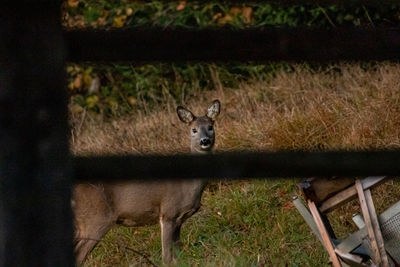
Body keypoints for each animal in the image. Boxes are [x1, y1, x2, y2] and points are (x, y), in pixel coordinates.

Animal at [72, 100, 222, 266]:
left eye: (210, 127)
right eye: (193, 130)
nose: (205, 141)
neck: (189, 186)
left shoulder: (179, 219)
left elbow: (178, 255)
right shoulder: (168, 212)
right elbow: (167, 257)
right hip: (96, 218)